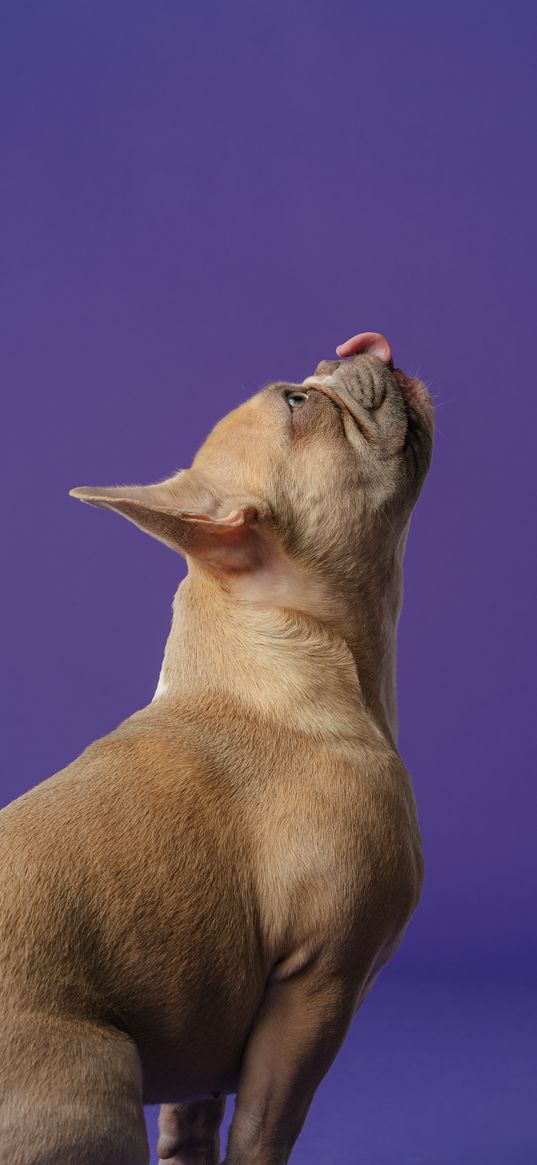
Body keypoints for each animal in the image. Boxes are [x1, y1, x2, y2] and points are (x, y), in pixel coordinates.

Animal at [0, 330, 433, 1165]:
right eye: (298, 402)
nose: (351, 348)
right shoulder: (314, 990)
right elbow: (264, 1129)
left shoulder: (208, 1023)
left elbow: (192, 1124)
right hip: (99, 1072)